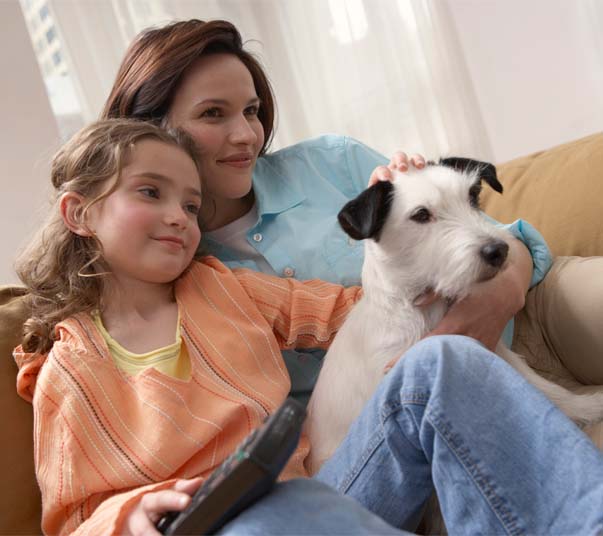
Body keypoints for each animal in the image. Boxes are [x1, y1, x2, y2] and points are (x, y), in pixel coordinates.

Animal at [306, 156, 603, 478]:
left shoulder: (497, 350)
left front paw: (586, 407)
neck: (422, 308)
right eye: (421, 215)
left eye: (472, 196)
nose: (499, 250)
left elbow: (545, 387)